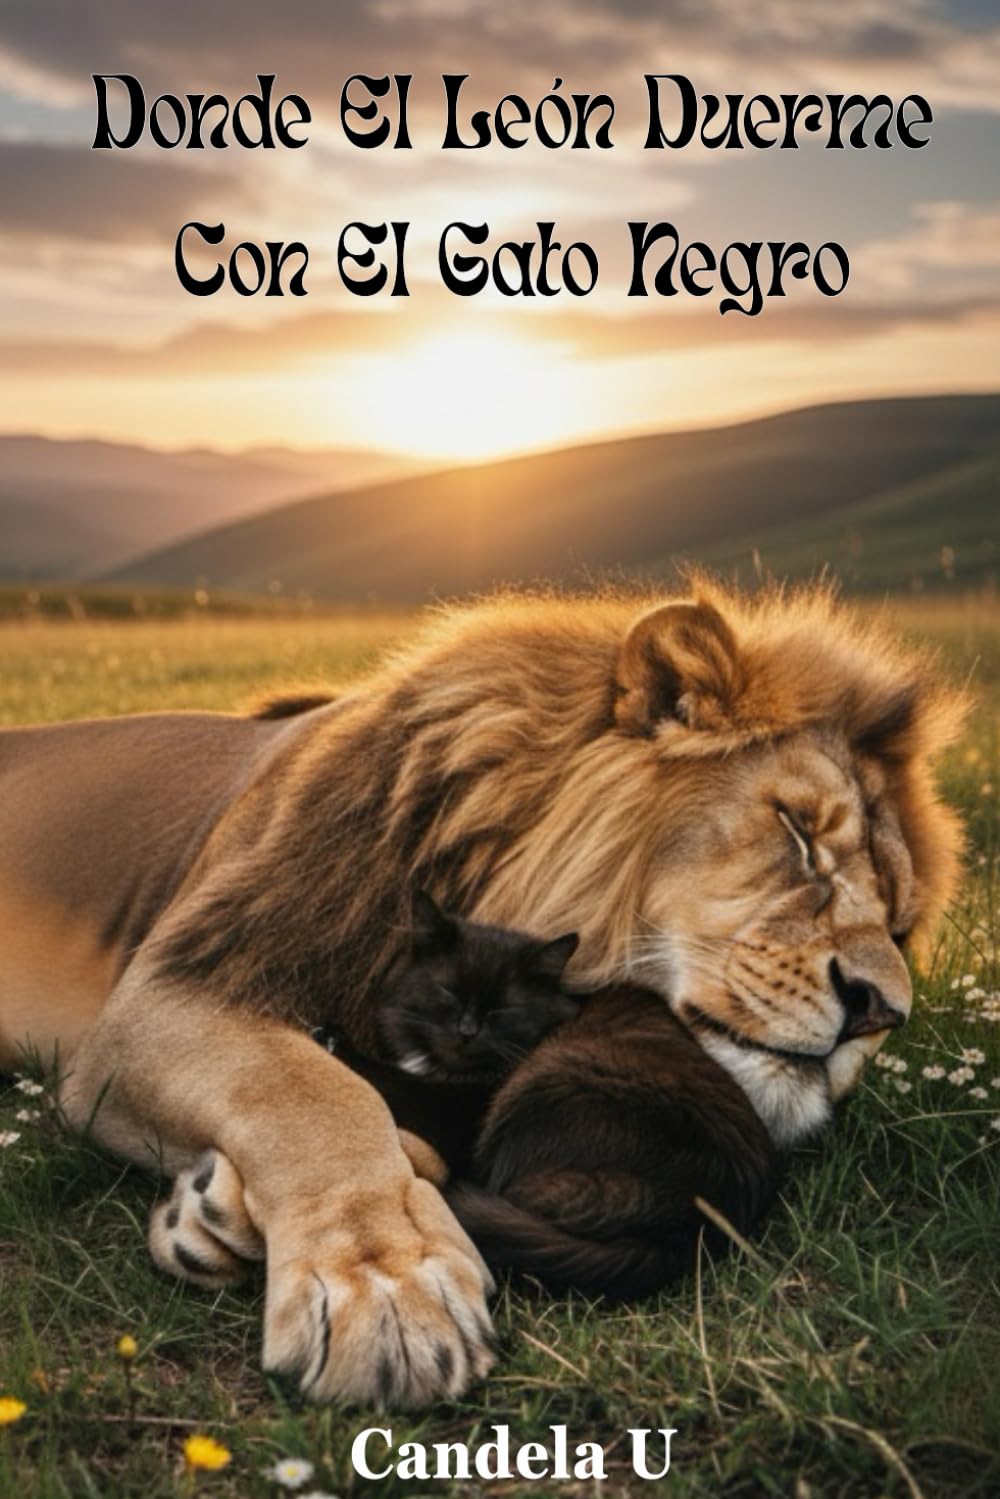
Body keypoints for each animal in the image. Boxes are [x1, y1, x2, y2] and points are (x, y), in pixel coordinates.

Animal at [0, 580, 965, 1406]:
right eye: (798, 832)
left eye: (900, 926)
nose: (880, 1010)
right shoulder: (165, 995)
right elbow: (312, 1091)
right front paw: (387, 1290)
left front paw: (225, 1215)